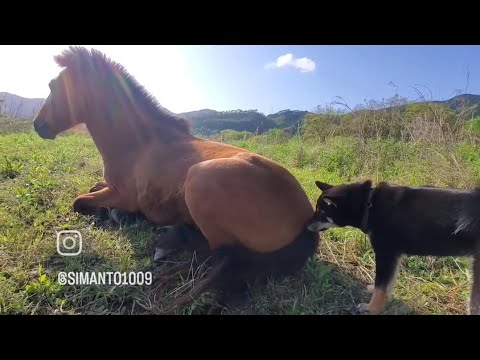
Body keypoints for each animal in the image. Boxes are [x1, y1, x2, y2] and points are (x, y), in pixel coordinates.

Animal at [32, 45, 318, 310]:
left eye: (53, 86)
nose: (38, 125)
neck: (138, 143)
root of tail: (305, 216)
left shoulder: (123, 195)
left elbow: (79, 201)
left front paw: (116, 214)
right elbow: (93, 187)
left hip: (199, 179)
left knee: (222, 256)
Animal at [308, 180, 480, 316]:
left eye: (321, 211)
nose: (307, 226)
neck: (369, 205)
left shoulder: (386, 253)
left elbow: (381, 287)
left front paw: (371, 309)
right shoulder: (394, 257)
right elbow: (385, 286)